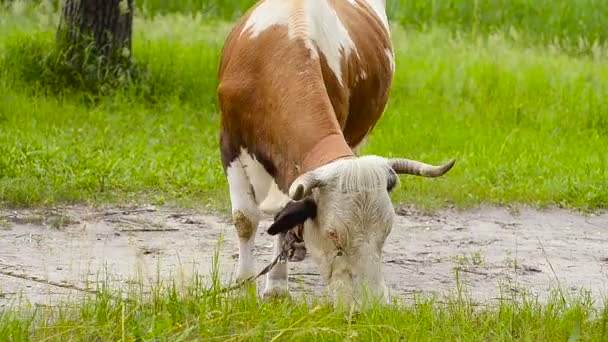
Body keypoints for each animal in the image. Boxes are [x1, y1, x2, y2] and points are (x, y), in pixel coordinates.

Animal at [216, 0, 454, 308]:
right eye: (332, 234)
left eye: (386, 231)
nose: (372, 305)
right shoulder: (229, 143)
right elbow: (245, 219)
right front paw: (244, 289)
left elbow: (283, 217)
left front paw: (277, 287)